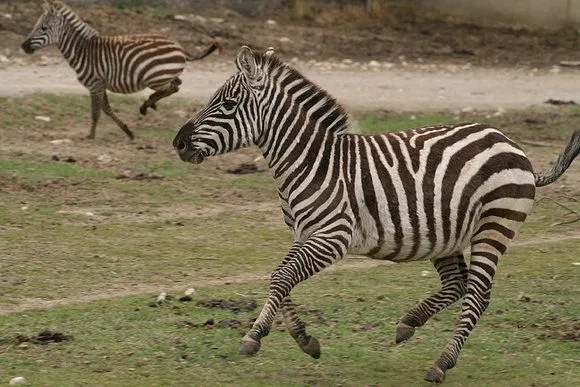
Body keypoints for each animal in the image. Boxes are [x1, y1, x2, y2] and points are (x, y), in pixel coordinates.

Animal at [21, 0, 220, 139]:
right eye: (36, 26)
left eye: (44, 28)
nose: (23, 46)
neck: (83, 51)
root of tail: (180, 47)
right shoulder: (100, 84)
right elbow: (106, 109)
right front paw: (127, 131)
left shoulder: (95, 84)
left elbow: (96, 112)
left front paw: (90, 135)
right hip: (165, 75)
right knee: (176, 83)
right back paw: (150, 103)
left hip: (155, 78)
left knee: (173, 87)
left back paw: (147, 104)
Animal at [172, 47, 580, 384]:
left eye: (227, 103)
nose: (178, 142)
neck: (311, 161)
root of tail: (512, 143)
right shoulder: (302, 234)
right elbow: (281, 279)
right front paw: (305, 340)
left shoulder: (332, 236)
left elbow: (281, 277)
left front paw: (253, 336)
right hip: (445, 232)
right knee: (457, 285)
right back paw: (409, 324)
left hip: (493, 227)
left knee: (478, 295)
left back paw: (441, 363)